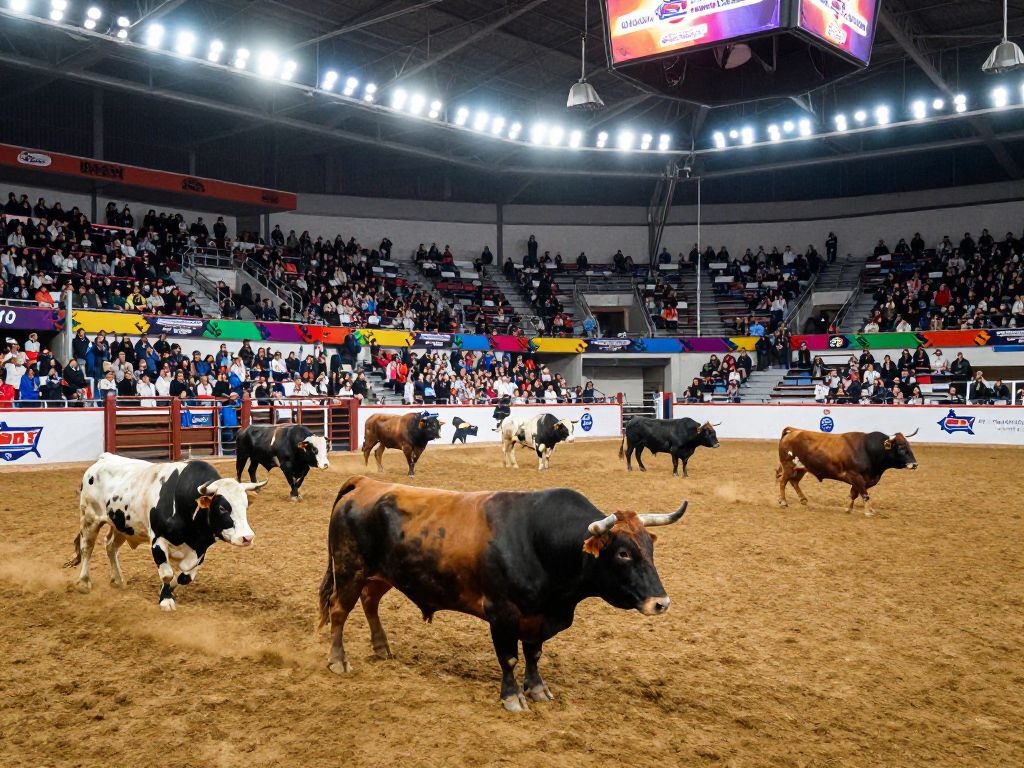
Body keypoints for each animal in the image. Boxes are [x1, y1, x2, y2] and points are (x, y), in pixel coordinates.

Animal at [66, 453, 266, 610]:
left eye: (245, 505)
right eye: (222, 507)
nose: (247, 537)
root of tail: (103, 459)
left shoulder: (201, 548)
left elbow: (186, 577)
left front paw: (167, 592)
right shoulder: (158, 541)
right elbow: (167, 573)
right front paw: (166, 600)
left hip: (122, 526)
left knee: (110, 547)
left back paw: (118, 579)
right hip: (90, 518)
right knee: (87, 547)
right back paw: (84, 582)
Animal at [318, 475, 688, 711]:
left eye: (649, 548)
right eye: (624, 553)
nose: (661, 603)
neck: (539, 539)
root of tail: (366, 484)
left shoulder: (538, 616)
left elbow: (534, 655)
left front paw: (537, 689)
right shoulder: (502, 612)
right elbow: (509, 657)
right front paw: (512, 697)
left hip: (381, 575)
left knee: (369, 602)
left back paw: (382, 648)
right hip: (350, 570)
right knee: (339, 611)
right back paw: (338, 660)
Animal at [776, 427, 919, 516]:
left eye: (909, 445)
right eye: (900, 447)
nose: (914, 464)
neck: (867, 449)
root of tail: (793, 431)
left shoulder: (860, 479)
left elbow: (854, 494)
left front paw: (848, 509)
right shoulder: (855, 476)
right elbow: (864, 494)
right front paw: (869, 511)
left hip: (801, 468)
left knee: (793, 481)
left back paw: (802, 499)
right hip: (788, 466)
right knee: (783, 482)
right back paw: (783, 501)